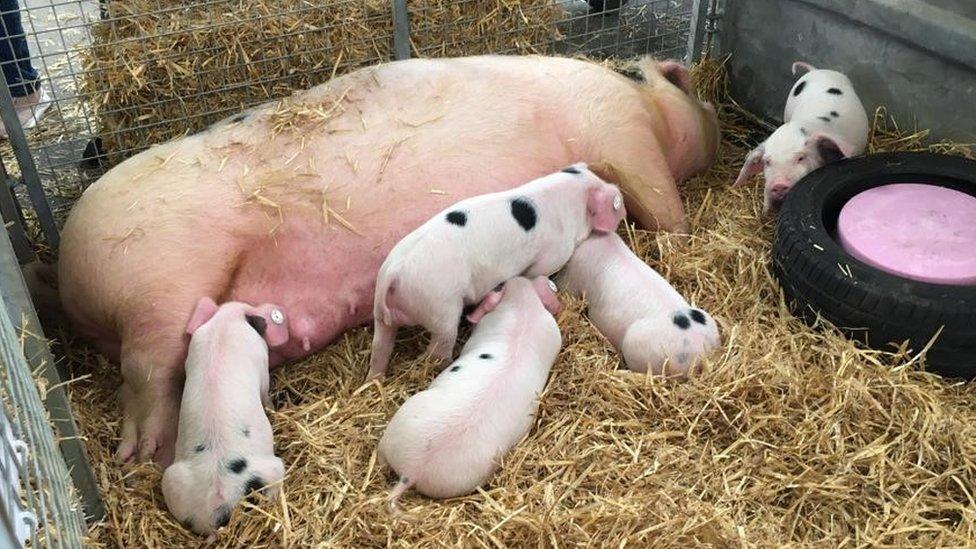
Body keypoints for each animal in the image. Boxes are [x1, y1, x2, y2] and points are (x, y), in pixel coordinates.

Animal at [59, 53, 716, 464]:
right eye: (691, 90)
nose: (714, 112)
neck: (648, 104)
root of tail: (68, 271)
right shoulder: (624, 133)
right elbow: (666, 208)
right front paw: (685, 240)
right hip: (158, 288)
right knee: (148, 375)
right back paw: (143, 455)